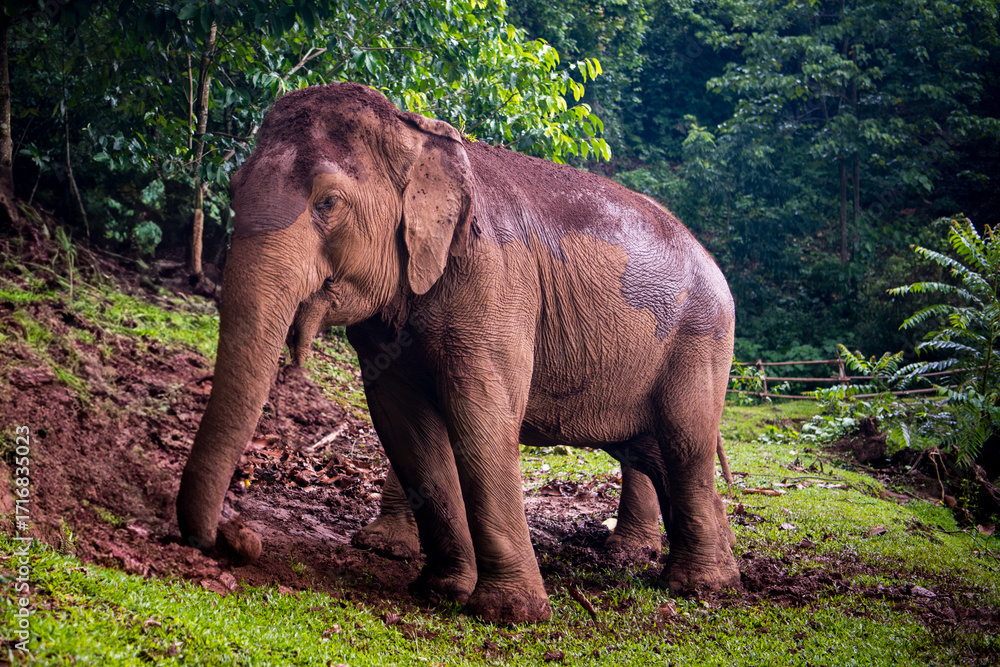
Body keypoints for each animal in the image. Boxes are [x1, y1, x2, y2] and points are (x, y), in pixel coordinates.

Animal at [177, 82, 740, 623]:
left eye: (328, 202)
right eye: (232, 189)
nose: (235, 537)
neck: (418, 134)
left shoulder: (496, 282)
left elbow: (482, 421)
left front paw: (510, 614)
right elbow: (406, 425)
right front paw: (440, 590)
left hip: (702, 342)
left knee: (684, 443)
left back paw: (696, 586)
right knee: (651, 451)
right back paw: (712, 566)